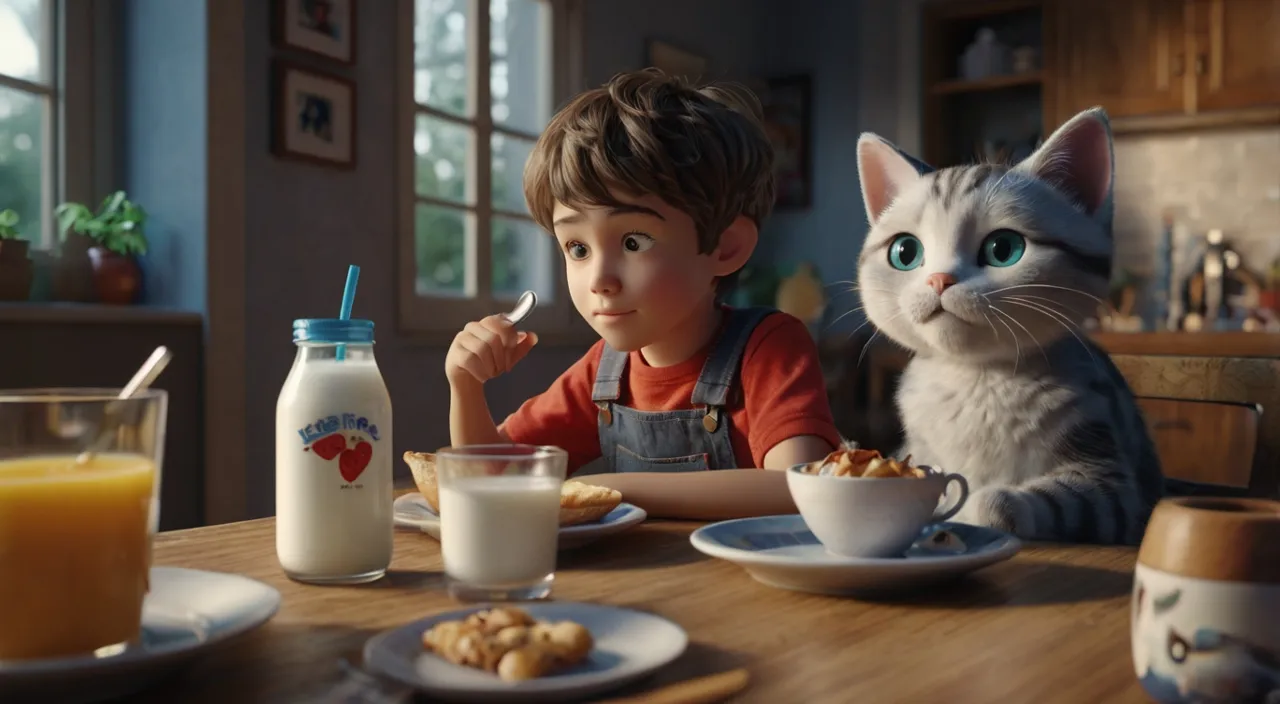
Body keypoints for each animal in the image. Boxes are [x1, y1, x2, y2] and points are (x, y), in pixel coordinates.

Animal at [855, 106, 1167, 545]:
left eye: (1003, 249)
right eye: (905, 251)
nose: (939, 280)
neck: (976, 380)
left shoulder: (1113, 489)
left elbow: (1007, 501)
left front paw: (973, 506)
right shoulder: (914, 447)